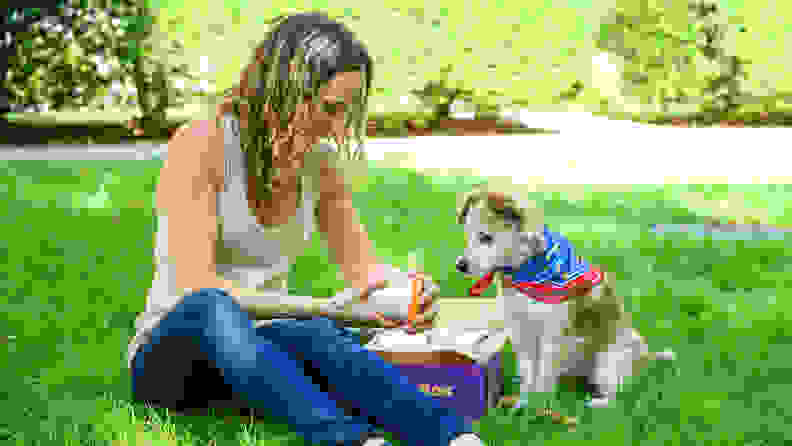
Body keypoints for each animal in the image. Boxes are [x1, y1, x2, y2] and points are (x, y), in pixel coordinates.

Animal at [454, 184, 672, 408]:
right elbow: (527, 373)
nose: (460, 265)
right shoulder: (520, 330)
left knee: (618, 399)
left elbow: (543, 376)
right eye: (468, 235)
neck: (526, 267)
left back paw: (596, 403)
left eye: (486, 237)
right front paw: (522, 403)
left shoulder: (552, 335)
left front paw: (538, 408)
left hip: (608, 365)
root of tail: (647, 357)